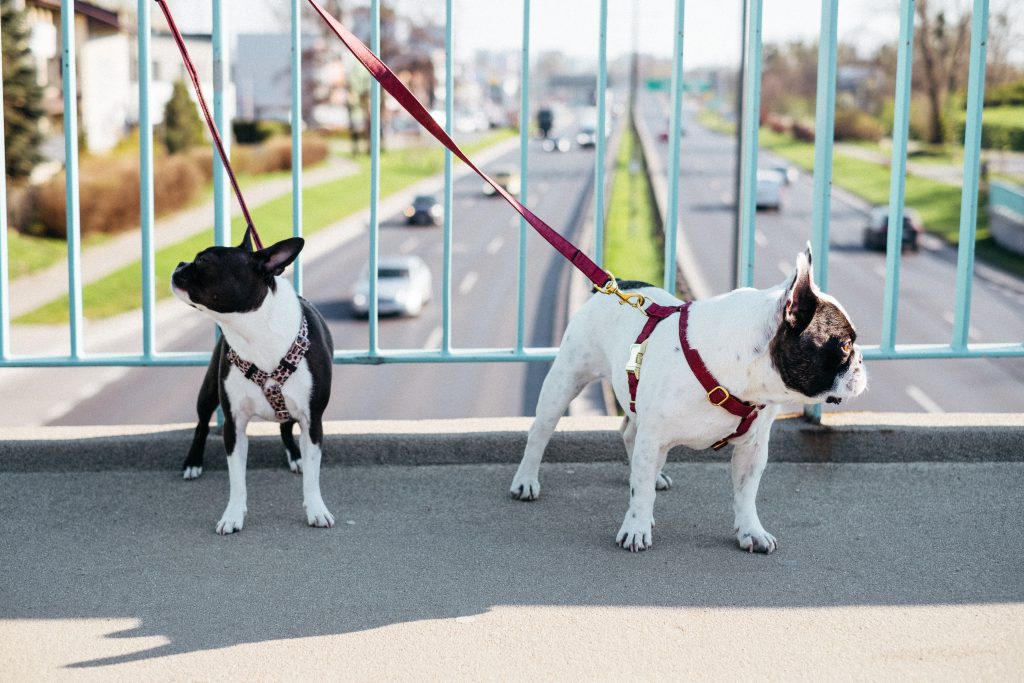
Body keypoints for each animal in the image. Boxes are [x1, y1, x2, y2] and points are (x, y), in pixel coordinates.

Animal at [172, 237, 335, 536]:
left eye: (203, 261)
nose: (180, 264)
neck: (254, 332)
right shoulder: (234, 425)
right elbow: (237, 479)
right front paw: (232, 516)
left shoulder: (313, 421)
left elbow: (312, 474)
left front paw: (317, 510)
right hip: (208, 391)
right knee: (201, 425)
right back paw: (193, 462)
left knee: (285, 427)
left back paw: (295, 456)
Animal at [509, 248, 864, 552]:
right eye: (845, 346)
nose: (861, 360)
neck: (739, 375)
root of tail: (617, 283)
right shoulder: (654, 437)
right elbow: (640, 491)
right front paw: (636, 527)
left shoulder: (753, 447)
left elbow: (746, 492)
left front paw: (751, 531)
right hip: (565, 380)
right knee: (540, 434)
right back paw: (526, 481)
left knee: (630, 435)